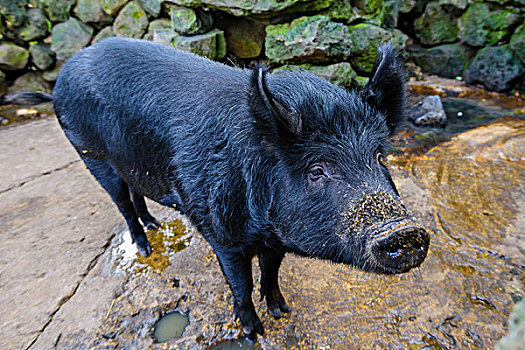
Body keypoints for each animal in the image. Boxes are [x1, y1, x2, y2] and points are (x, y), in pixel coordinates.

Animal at [6, 38, 428, 340]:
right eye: (317, 170)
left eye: (379, 155)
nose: (405, 230)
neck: (261, 229)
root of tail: (60, 82)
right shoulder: (221, 233)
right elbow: (241, 284)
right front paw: (254, 332)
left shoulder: (275, 236)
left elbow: (271, 272)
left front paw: (282, 311)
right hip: (90, 154)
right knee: (121, 202)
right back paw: (145, 248)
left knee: (136, 193)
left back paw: (156, 226)